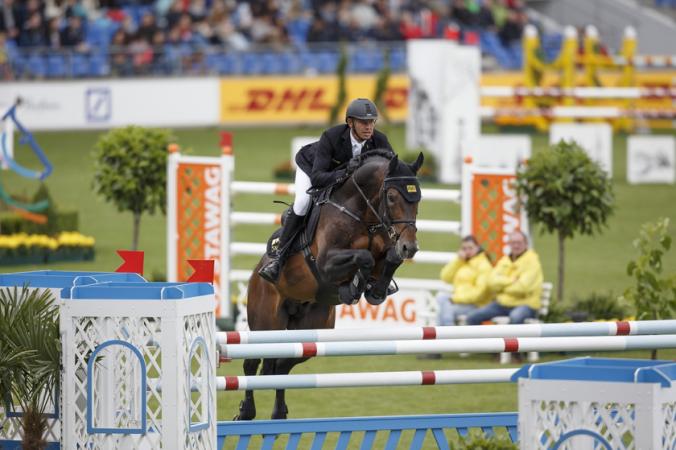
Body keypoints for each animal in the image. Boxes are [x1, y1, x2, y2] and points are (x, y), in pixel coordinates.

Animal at [234, 150, 424, 420]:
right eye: (391, 196)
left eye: (418, 198)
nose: (410, 247)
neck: (362, 213)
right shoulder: (326, 263)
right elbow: (363, 257)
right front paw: (354, 286)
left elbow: (389, 258)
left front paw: (374, 290)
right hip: (265, 322)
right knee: (252, 362)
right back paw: (246, 412)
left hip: (311, 326)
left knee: (282, 364)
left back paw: (279, 413)